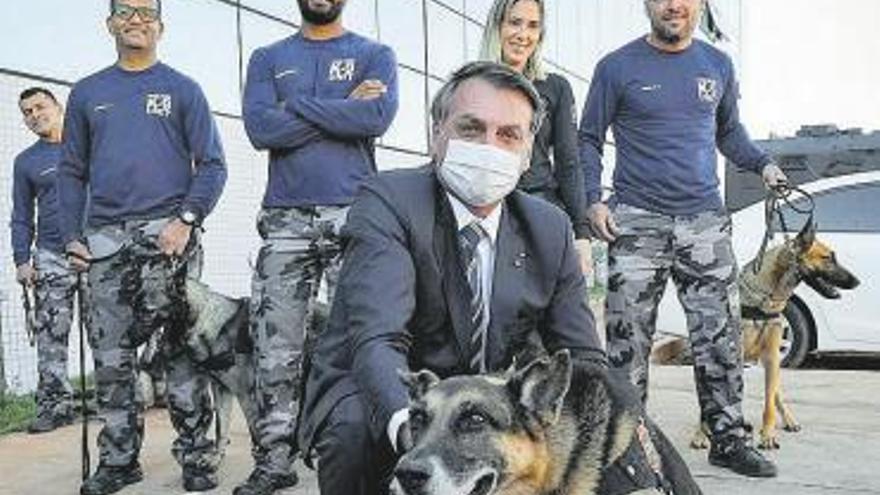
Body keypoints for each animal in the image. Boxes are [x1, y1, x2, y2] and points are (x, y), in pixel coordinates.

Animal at [660, 223, 860, 452]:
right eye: (828, 258)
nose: (857, 282)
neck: (765, 298)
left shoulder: (772, 357)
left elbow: (769, 402)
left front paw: (768, 435)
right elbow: (713, 401)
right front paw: (703, 433)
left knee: (774, 394)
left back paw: (787, 419)